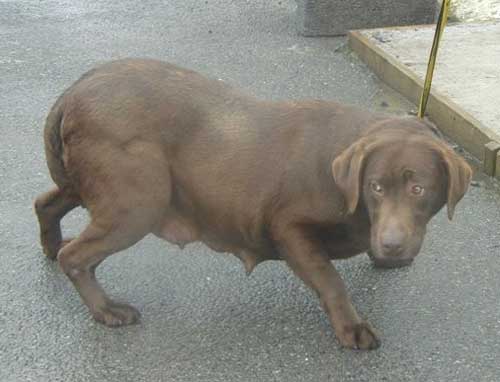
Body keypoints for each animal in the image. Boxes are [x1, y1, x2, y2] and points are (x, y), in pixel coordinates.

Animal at [33, 59, 470, 350]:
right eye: (375, 187)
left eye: (419, 190)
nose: (393, 244)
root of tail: (74, 90)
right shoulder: (289, 228)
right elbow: (331, 280)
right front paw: (352, 328)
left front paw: (385, 257)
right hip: (139, 199)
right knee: (78, 256)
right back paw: (106, 310)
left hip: (91, 186)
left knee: (45, 203)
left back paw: (52, 247)